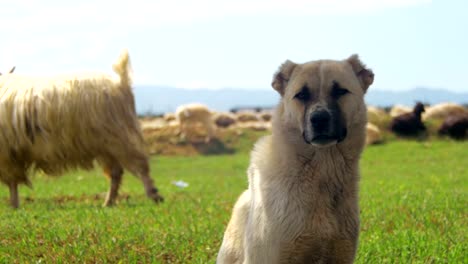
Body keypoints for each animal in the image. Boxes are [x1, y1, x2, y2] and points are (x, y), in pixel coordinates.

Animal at [0, 50, 163, 208]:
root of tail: (121, 83)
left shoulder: (7, 156)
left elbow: (12, 182)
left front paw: (14, 205)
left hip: (120, 136)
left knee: (139, 166)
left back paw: (154, 195)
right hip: (106, 144)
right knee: (117, 172)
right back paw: (108, 202)